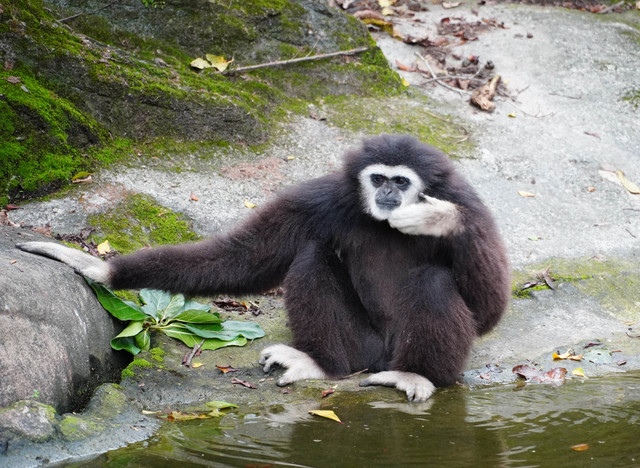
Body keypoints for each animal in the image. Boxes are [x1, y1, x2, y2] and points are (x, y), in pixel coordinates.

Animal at [16, 134, 510, 402]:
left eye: (401, 181)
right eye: (377, 178)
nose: (388, 194)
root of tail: (377, 359)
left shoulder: (468, 201)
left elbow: (489, 310)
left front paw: (438, 218)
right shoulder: (326, 197)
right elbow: (244, 258)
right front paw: (98, 269)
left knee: (434, 281)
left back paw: (416, 373)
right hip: (361, 346)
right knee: (313, 255)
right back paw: (322, 364)